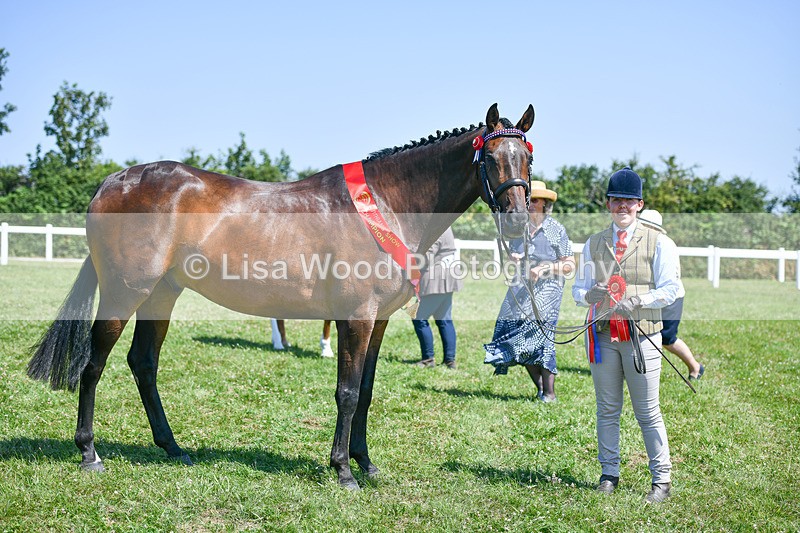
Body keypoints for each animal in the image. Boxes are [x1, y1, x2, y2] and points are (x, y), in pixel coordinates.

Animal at [27, 103, 535, 489]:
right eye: (490, 158)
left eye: (526, 158)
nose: (517, 221)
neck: (386, 203)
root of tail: (112, 182)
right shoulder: (356, 318)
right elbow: (348, 392)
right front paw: (343, 471)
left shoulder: (379, 321)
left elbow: (367, 391)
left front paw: (366, 464)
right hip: (124, 291)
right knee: (93, 364)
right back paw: (89, 452)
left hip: (161, 295)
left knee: (143, 363)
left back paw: (173, 448)